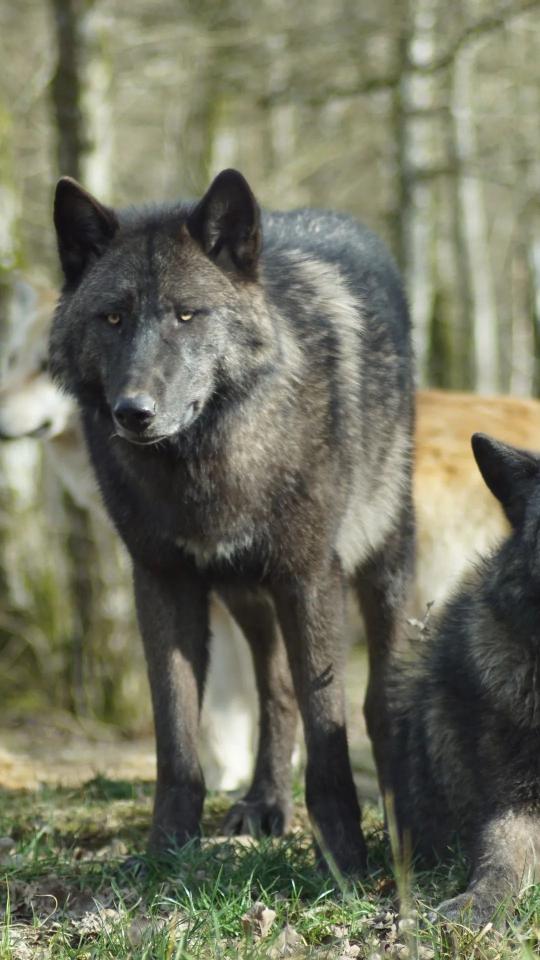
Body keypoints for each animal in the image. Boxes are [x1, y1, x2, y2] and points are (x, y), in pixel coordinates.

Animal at [49, 168, 415, 873]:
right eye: (113, 317)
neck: (204, 464)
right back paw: (265, 802)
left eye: (187, 314)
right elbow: (175, 734)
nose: (133, 411)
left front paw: (344, 859)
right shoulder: (162, 581)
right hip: (247, 595)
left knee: (378, 694)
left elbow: (328, 724)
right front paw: (165, 852)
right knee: (275, 691)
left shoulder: (309, 577)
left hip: (381, 566)